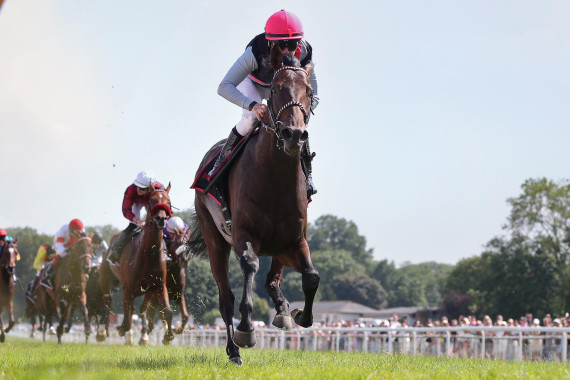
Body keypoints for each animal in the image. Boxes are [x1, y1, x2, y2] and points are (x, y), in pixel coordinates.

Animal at [97, 184, 173, 344]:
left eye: (168, 202)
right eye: (152, 200)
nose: (161, 219)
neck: (147, 252)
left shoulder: (158, 286)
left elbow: (167, 311)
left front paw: (168, 335)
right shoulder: (128, 287)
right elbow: (126, 320)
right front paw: (121, 329)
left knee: (138, 308)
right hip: (105, 279)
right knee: (107, 301)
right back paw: (101, 332)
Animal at [191, 46, 318, 366]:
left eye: (309, 91)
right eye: (274, 89)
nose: (294, 134)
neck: (274, 178)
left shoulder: (293, 240)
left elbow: (311, 277)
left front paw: (298, 314)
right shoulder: (243, 234)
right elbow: (250, 266)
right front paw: (247, 329)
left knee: (273, 280)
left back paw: (283, 311)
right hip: (214, 241)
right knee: (226, 298)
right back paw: (234, 350)